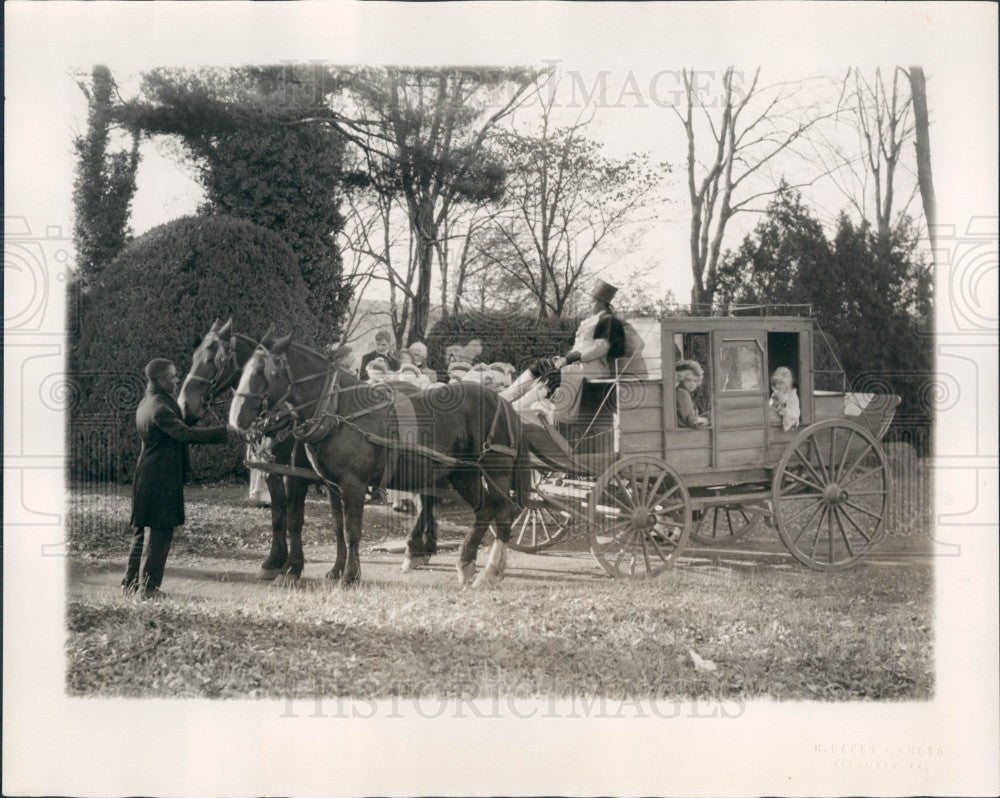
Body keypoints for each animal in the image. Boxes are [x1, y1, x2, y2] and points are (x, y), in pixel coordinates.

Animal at [229, 334, 532, 592]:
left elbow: (350, 531)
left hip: (494, 470)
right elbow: (334, 527)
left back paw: (488, 571)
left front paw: (349, 575)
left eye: (264, 372)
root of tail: (505, 405)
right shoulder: (332, 485)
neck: (338, 409)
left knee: (503, 512)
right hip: (463, 473)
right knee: (484, 510)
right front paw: (323, 570)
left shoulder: (350, 484)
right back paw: (467, 562)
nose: (236, 419)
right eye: (243, 370)